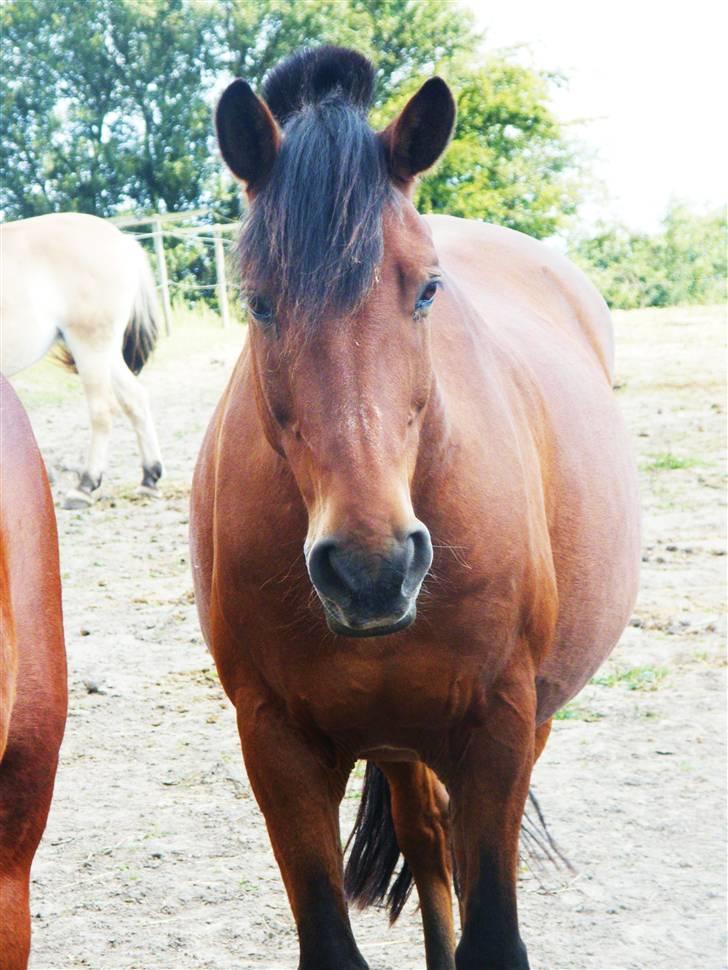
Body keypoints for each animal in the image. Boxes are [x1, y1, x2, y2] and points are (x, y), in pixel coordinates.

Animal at [0, 212, 164, 509]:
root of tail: (123, 242)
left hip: (89, 346)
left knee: (103, 410)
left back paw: (85, 486)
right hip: (107, 352)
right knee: (134, 399)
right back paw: (149, 478)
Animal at [189, 47, 640, 970]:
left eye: (429, 290)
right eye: (257, 301)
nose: (372, 570)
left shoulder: (499, 728)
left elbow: (493, 931)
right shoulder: (276, 746)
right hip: (397, 740)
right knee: (427, 839)